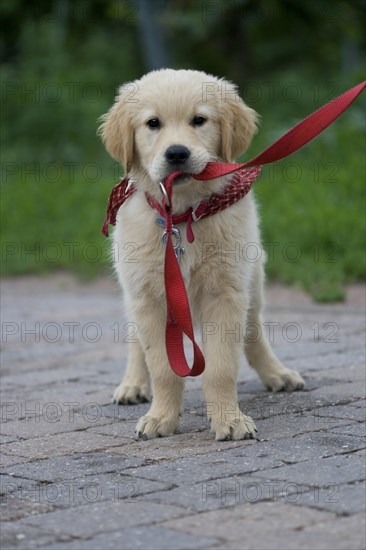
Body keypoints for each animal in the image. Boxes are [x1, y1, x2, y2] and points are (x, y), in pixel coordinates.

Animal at [98, 69, 304, 442]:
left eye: (199, 120)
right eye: (152, 123)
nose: (177, 153)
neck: (182, 217)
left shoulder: (225, 293)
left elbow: (221, 366)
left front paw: (229, 419)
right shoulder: (150, 297)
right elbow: (162, 366)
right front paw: (161, 417)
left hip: (253, 281)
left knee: (253, 333)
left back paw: (277, 374)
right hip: (132, 288)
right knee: (136, 341)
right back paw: (133, 384)